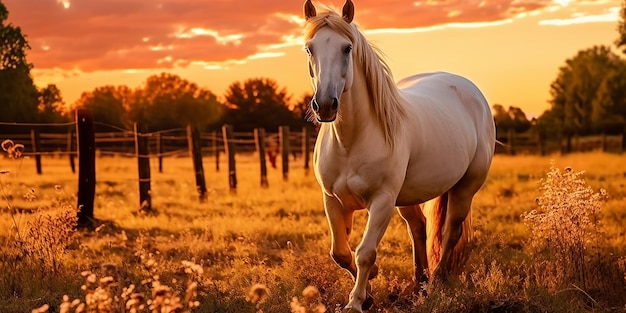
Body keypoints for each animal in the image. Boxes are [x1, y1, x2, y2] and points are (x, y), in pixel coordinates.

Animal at [300, 1, 494, 310]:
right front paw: (368, 291)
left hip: (465, 187)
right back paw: (420, 284)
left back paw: (437, 282)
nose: (326, 105)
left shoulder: (382, 201)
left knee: (450, 231)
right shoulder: (332, 199)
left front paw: (356, 302)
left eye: (347, 48)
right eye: (309, 48)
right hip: (408, 196)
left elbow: (365, 252)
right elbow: (340, 252)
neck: (350, 142)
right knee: (419, 228)